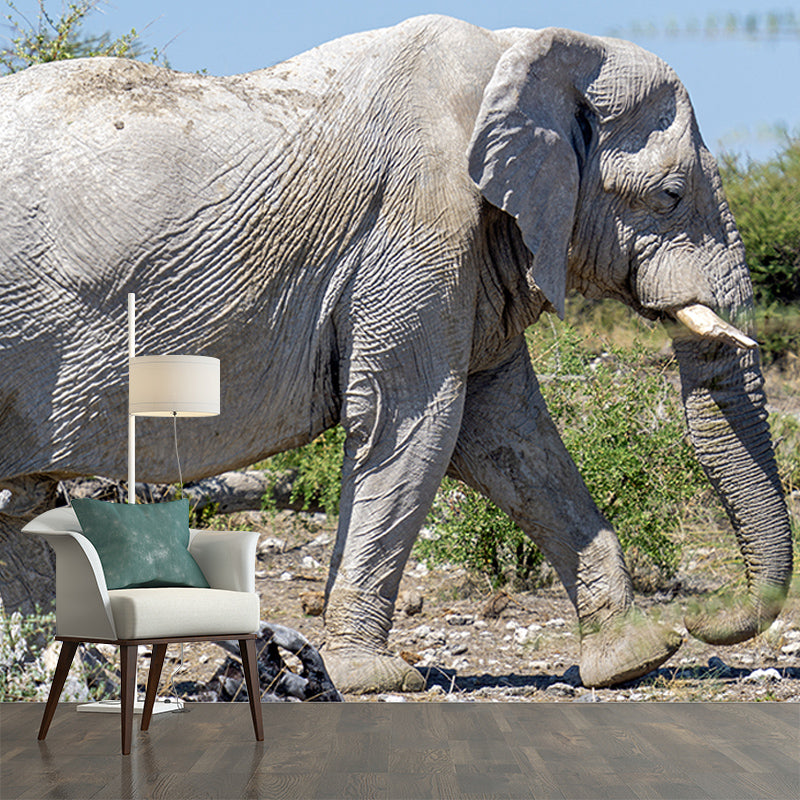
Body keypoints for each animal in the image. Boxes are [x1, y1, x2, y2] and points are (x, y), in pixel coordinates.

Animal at [0, 15, 793, 691]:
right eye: (670, 194)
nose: (702, 622)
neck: (514, 50)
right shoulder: (419, 221)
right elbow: (415, 421)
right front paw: (371, 678)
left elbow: (510, 438)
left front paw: (632, 660)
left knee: (20, 503)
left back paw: (74, 684)